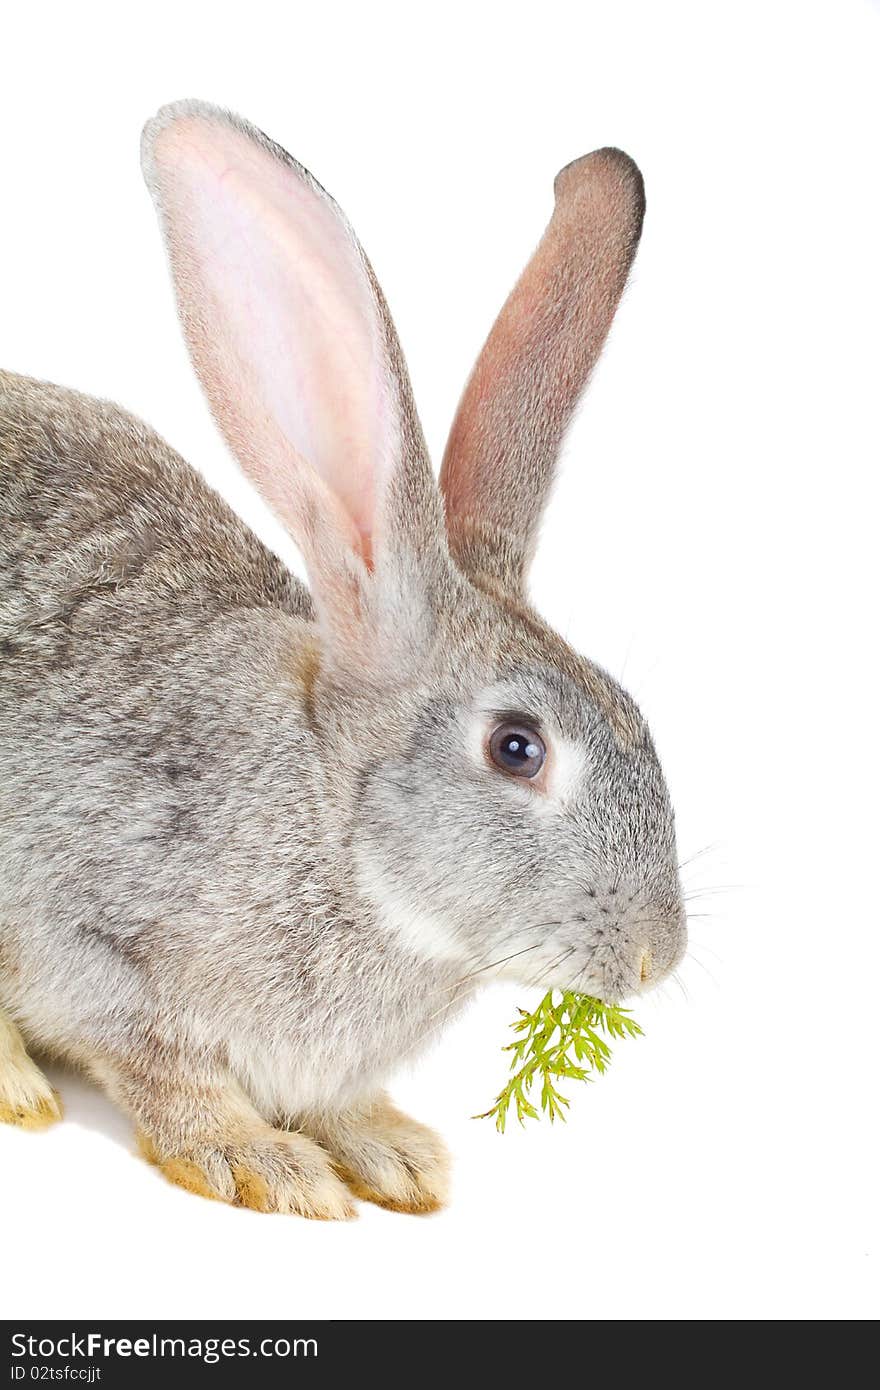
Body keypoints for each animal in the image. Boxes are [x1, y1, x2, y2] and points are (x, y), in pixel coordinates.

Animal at [0, 102, 683, 1217]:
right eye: (517, 748)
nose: (655, 954)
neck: (335, 824)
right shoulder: (89, 933)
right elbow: (163, 1071)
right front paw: (260, 1162)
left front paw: (393, 1151)